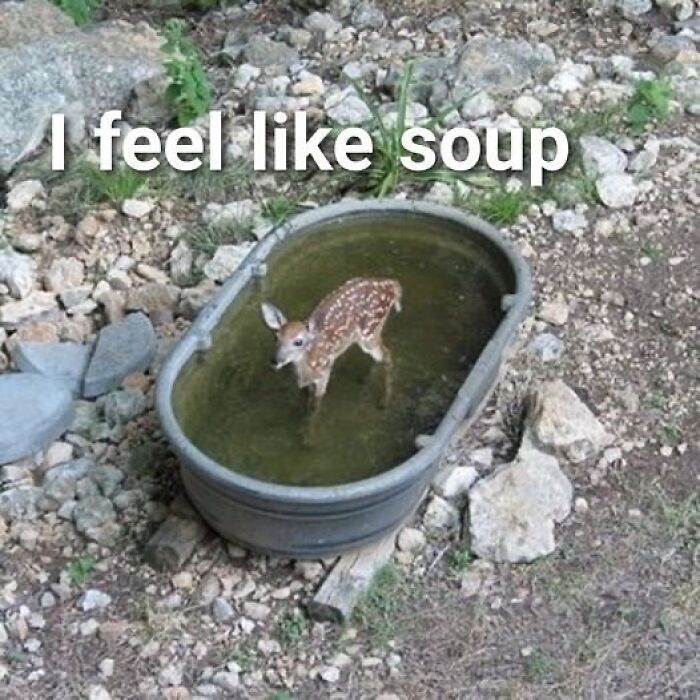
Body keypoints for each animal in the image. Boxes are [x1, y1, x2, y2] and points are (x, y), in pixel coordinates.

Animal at [261, 277, 402, 410]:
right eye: (276, 337)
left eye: (298, 342)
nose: (275, 360)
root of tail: (392, 284)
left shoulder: (325, 369)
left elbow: (317, 401)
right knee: (380, 358)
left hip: (370, 332)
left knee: (386, 355)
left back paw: (384, 401)